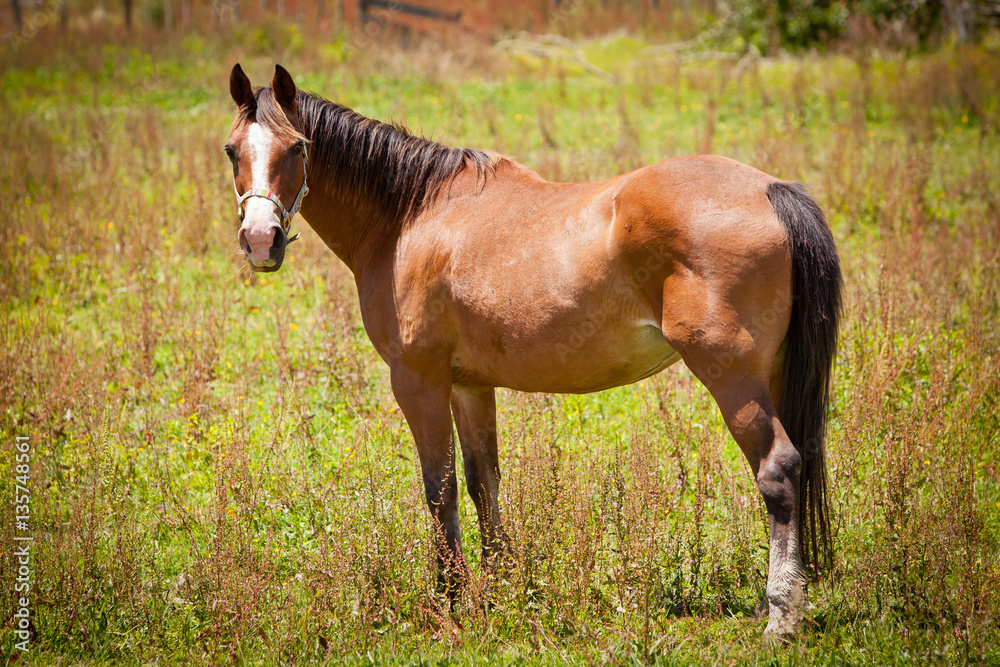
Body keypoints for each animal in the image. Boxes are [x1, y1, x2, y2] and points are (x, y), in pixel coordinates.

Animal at [223, 65, 840, 640]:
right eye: (232, 150)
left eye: (297, 147)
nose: (260, 240)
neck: (411, 217)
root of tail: (772, 190)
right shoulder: (470, 385)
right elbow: (482, 482)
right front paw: (500, 588)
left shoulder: (418, 380)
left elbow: (439, 489)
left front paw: (449, 602)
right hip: (773, 373)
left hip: (731, 375)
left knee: (778, 469)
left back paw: (781, 616)